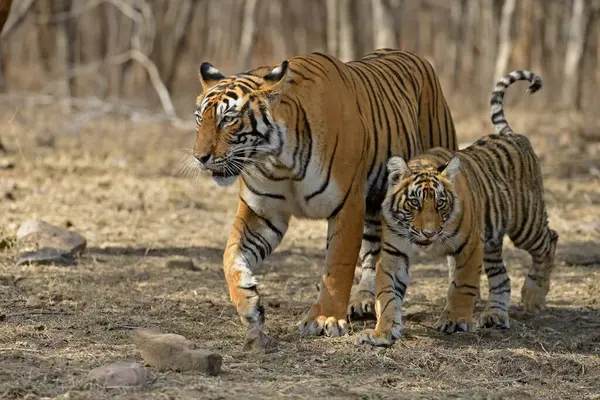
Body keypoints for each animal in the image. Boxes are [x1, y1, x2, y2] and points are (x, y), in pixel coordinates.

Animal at [195, 49, 458, 338]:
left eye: (228, 119)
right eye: (199, 118)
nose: (199, 157)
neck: (278, 160)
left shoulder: (347, 204)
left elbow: (337, 266)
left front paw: (325, 318)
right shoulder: (262, 212)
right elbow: (230, 255)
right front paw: (249, 305)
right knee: (374, 251)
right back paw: (365, 301)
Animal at [356, 70, 556, 346]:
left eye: (440, 203)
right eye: (414, 202)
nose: (429, 233)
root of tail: (511, 134)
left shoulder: (469, 246)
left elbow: (462, 285)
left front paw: (455, 321)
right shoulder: (393, 251)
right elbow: (387, 293)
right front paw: (382, 332)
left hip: (525, 224)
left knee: (550, 240)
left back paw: (533, 294)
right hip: (492, 239)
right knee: (502, 277)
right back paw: (495, 315)